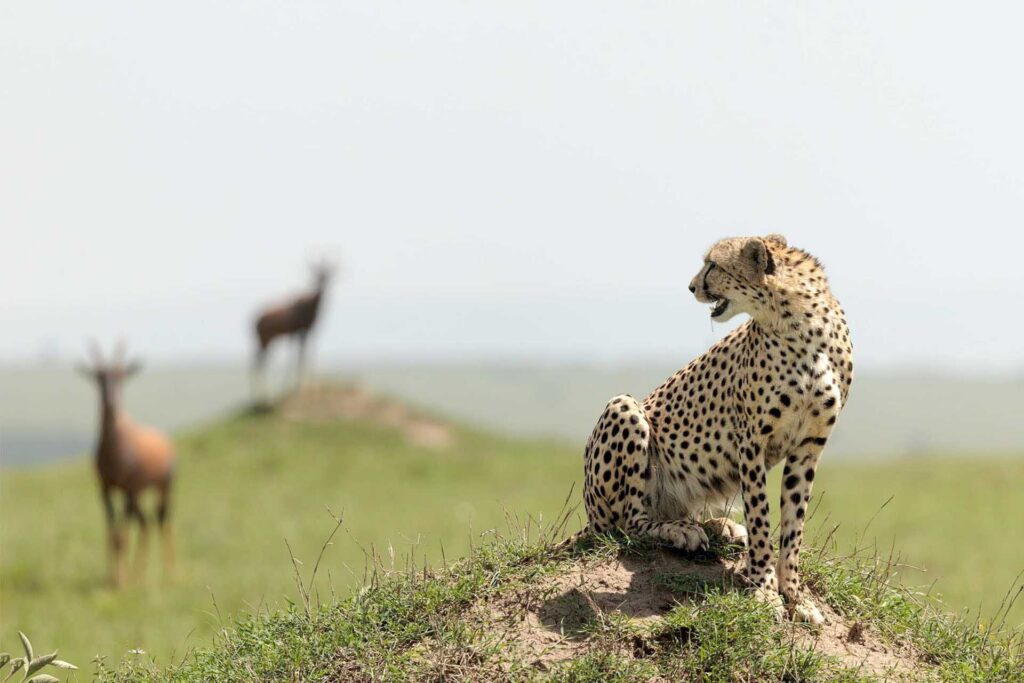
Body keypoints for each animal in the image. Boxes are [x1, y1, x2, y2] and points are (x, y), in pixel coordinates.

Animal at [77, 342, 175, 587]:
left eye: (121, 375)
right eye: (99, 376)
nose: (111, 403)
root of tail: (167, 441)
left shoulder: (127, 489)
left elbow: (122, 535)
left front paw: (121, 582)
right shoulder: (105, 489)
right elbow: (112, 534)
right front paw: (113, 578)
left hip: (163, 488)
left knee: (163, 520)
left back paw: (170, 573)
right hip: (138, 494)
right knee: (146, 524)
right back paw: (140, 575)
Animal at [252, 260, 336, 399]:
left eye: (326, 274)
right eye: (318, 273)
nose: (322, 286)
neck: (309, 304)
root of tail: (254, 320)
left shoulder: (308, 332)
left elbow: (306, 353)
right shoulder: (297, 332)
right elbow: (297, 355)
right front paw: (294, 387)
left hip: (267, 341)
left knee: (260, 360)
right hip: (264, 340)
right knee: (258, 361)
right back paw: (262, 395)